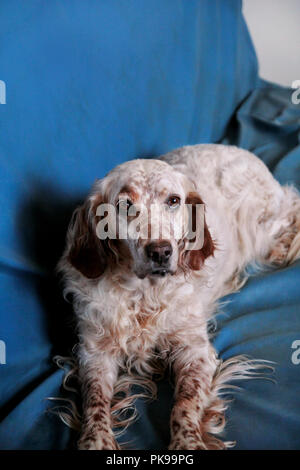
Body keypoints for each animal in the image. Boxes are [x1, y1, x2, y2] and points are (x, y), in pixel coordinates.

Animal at [58, 145, 300, 450]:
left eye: (173, 200)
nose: (160, 251)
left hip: (260, 228)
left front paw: (188, 443)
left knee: (290, 212)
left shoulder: (194, 350)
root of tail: (243, 151)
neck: (144, 295)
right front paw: (97, 440)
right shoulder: (95, 353)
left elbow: (185, 403)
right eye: (125, 205)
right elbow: (95, 401)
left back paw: (282, 248)